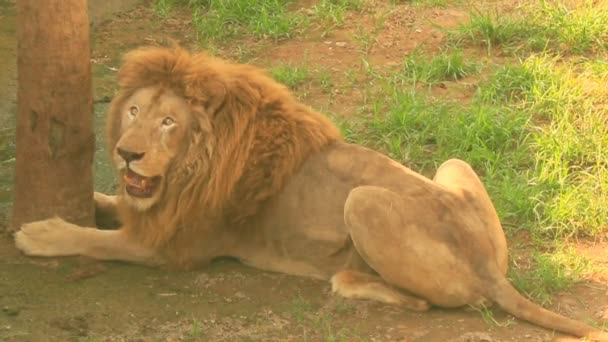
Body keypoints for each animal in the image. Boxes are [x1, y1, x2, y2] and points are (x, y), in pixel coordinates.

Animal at [14, 46, 608, 342]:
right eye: (133, 110)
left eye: (167, 122)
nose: (126, 153)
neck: (190, 168)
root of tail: (490, 267)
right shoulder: (158, 211)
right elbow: (113, 207)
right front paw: (98, 198)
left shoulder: (174, 249)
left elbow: (95, 239)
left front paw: (38, 232)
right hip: (453, 165)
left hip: (361, 202)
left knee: (427, 301)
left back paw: (347, 280)